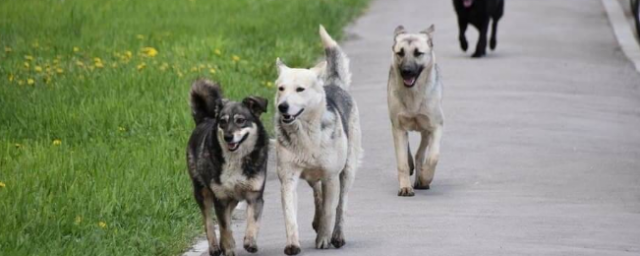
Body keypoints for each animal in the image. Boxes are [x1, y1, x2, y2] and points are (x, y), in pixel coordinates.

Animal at [185, 78, 268, 256]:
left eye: (240, 120)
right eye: (222, 122)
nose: (228, 136)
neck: (235, 159)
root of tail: (203, 119)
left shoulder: (254, 195)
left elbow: (252, 221)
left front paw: (250, 241)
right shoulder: (220, 198)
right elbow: (224, 227)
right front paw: (228, 248)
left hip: (233, 198)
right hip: (202, 191)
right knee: (208, 221)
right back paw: (215, 247)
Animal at [276, 25, 362, 255]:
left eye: (300, 89)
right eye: (281, 88)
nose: (282, 107)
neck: (306, 135)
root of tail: (333, 85)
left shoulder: (331, 176)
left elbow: (331, 211)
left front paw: (324, 238)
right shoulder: (288, 177)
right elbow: (290, 215)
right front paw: (292, 244)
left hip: (347, 170)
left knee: (340, 205)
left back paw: (337, 235)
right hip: (313, 177)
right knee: (318, 196)